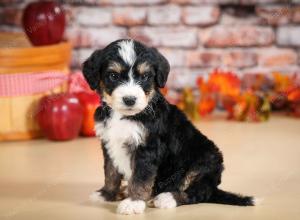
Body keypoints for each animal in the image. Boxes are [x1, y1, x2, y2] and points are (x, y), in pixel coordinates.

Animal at [82, 38, 255, 214]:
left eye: (145, 76)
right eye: (113, 76)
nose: (129, 99)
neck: (126, 116)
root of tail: (214, 187)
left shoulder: (147, 148)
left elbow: (140, 178)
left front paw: (134, 202)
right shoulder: (109, 143)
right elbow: (110, 172)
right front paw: (107, 194)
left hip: (204, 161)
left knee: (197, 192)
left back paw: (167, 198)